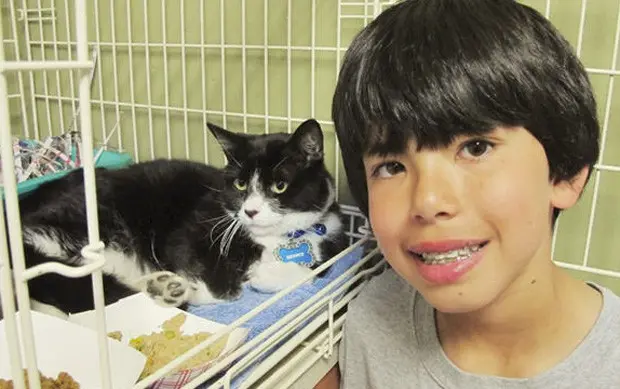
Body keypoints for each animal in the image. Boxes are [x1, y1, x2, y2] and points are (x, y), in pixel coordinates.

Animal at [4, 119, 346, 318]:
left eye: (280, 185)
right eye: (240, 184)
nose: (249, 211)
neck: (275, 239)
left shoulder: (333, 240)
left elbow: (319, 271)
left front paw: (266, 274)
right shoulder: (194, 228)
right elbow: (224, 289)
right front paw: (216, 288)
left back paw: (162, 285)